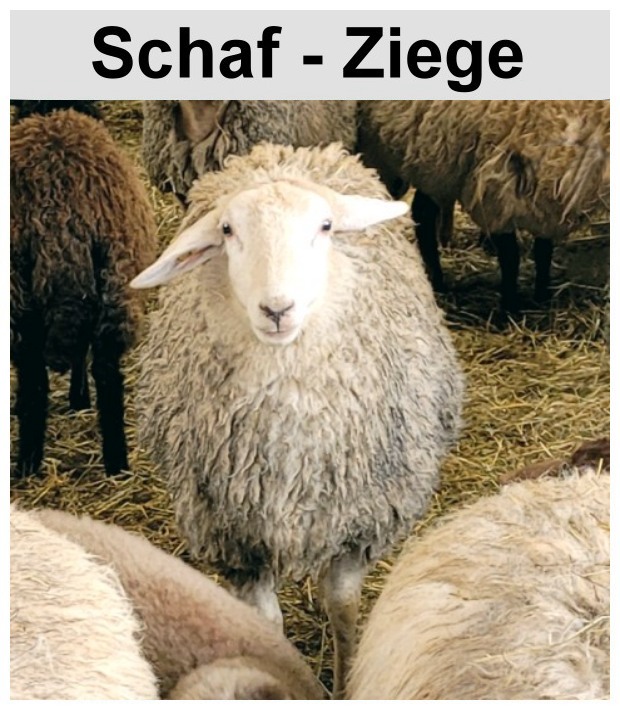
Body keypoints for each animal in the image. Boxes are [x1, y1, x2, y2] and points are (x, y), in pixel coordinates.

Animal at [129, 142, 465, 696]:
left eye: (325, 226)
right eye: (228, 231)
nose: (277, 309)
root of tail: (285, 152)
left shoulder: (359, 520)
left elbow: (342, 607)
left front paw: (346, 681)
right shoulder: (240, 537)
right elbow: (266, 622)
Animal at [357, 100, 610, 313]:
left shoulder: (544, 202)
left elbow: (543, 250)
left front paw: (541, 297)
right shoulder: (495, 192)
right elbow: (510, 256)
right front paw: (509, 308)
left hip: (434, 162)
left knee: (423, 213)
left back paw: (436, 280)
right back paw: (436, 281)